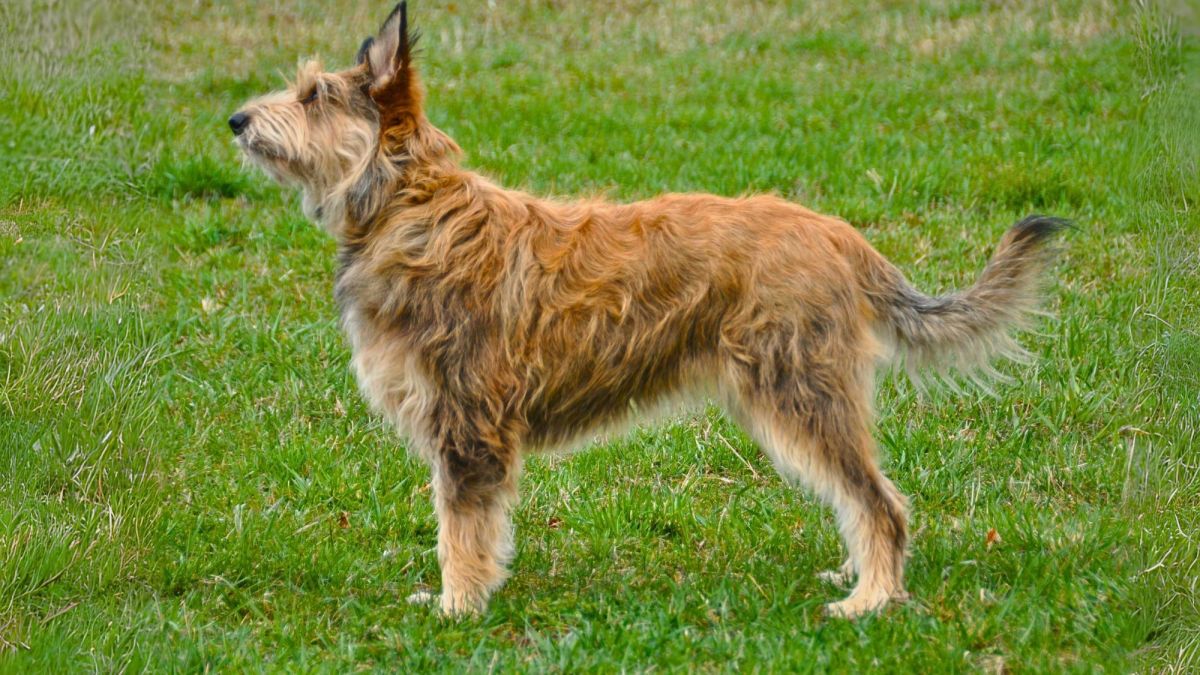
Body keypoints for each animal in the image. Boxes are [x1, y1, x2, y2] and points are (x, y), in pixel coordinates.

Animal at [229, 2, 1065, 619]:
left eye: (313, 96)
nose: (237, 120)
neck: (412, 206)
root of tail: (842, 237)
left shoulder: (467, 424)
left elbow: (459, 528)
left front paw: (457, 607)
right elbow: (471, 527)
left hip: (801, 392)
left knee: (880, 501)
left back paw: (871, 599)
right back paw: (855, 576)